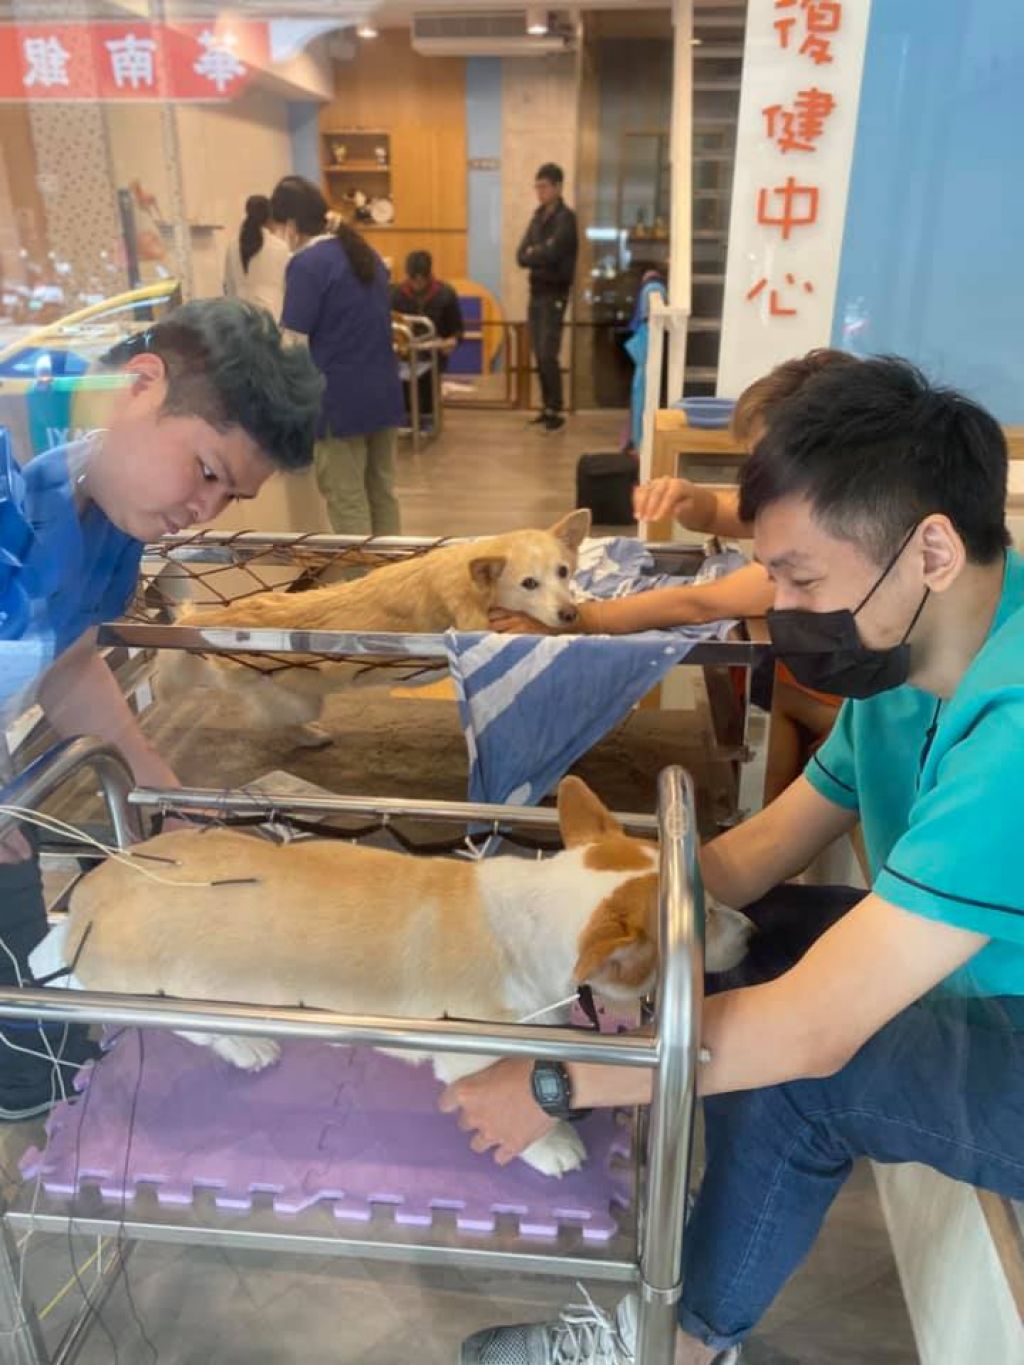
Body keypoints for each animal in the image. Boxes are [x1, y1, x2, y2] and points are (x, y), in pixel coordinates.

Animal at [31, 776, 751, 1177]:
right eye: (704, 915)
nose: (753, 932)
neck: (543, 912)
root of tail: (86, 900)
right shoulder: (471, 1056)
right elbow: (519, 1103)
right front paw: (554, 1145)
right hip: (159, 991)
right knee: (181, 1024)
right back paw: (247, 1043)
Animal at [157, 510, 591, 745]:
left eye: (563, 571)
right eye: (529, 583)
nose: (570, 615)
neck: (473, 582)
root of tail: (207, 620)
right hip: (294, 698)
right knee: (269, 721)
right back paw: (308, 735)